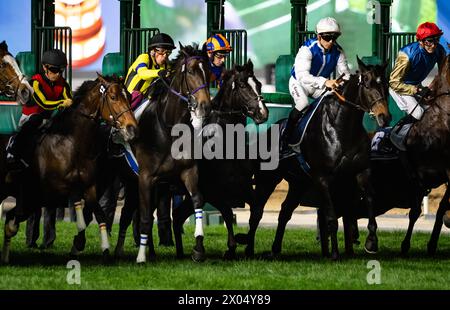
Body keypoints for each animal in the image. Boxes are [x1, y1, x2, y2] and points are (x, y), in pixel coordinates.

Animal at [0, 74, 138, 262]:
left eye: (129, 96)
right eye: (113, 97)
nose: (132, 128)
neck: (72, 145)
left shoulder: (90, 188)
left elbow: (98, 214)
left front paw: (102, 248)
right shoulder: (53, 191)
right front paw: (79, 243)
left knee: (11, 217)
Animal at [134, 44, 212, 264]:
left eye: (208, 71)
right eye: (191, 71)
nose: (205, 106)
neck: (168, 129)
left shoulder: (189, 171)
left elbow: (197, 200)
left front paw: (198, 247)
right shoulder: (145, 177)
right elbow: (145, 217)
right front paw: (140, 257)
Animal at [171, 59, 268, 260]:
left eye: (259, 84)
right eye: (242, 85)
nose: (263, 113)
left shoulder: (243, 186)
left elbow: (256, 212)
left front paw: (247, 245)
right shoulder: (211, 191)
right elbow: (227, 212)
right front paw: (231, 246)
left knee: (176, 216)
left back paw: (180, 252)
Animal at [241, 57, 392, 260]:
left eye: (386, 85)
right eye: (367, 84)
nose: (385, 117)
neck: (342, 128)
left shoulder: (360, 172)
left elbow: (368, 201)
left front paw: (371, 241)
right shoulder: (323, 178)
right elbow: (330, 217)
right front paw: (334, 254)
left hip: (299, 182)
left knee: (285, 211)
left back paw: (275, 249)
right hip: (268, 178)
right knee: (256, 212)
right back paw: (249, 249)